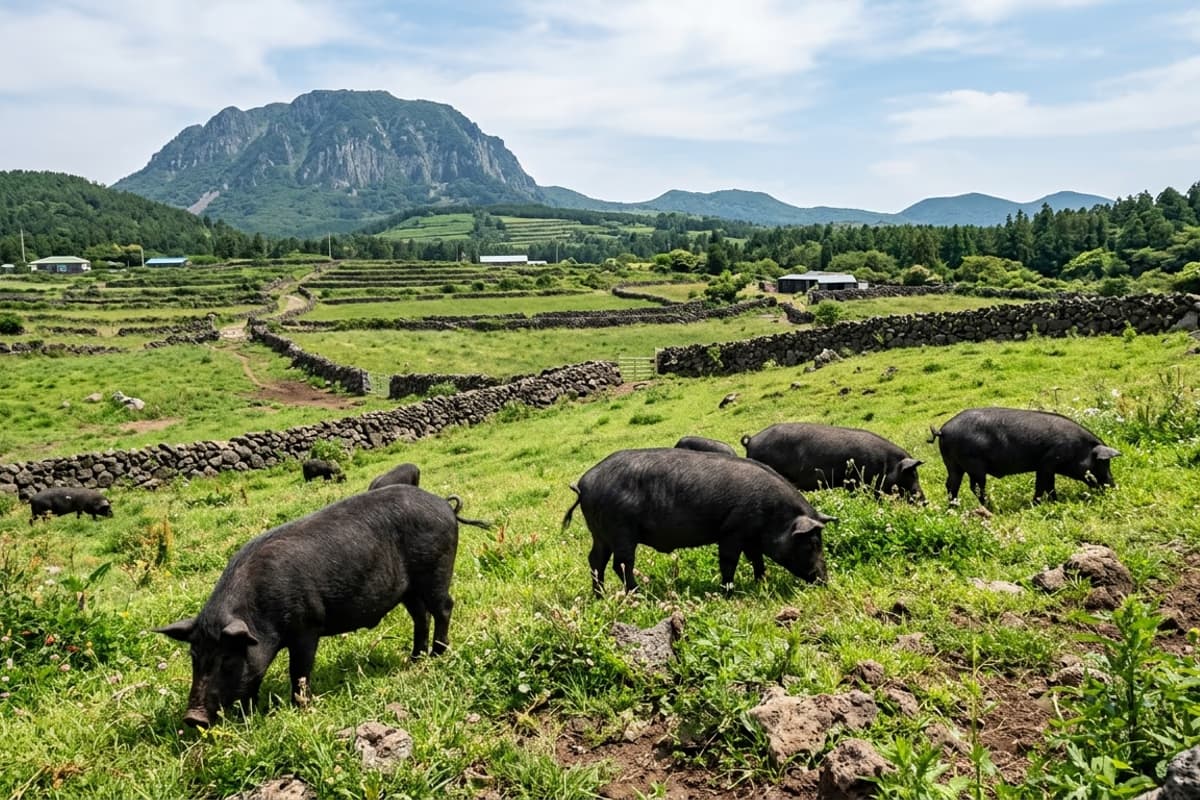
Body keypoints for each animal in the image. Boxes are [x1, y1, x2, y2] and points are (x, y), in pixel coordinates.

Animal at [155, 485, 487, 728]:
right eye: (194, 657)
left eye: (226, 659)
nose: (192, 717)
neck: (261, 613)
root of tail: (444, 505)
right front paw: (249, 713)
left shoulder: (307, 627)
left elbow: (299, 670)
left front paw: (300, 707)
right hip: (408, 590)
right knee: (421, 616)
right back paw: (414, 658)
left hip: (435, 571)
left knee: (444, 607)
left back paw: (438, 655)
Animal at [562, 448, 831, 595]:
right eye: (812, 543)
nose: (825, 580)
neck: (774, 513)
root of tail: (584, 483)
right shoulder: (732, 530)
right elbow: (729, 561)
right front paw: (728, 592)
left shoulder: (751, 536)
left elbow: (757, 559)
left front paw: (762, 583)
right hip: (621, 529)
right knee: (621, 563)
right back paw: (638, 594)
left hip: (600, 533)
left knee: (596, 560)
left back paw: (600, 596)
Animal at [929, 407, 1120, 507]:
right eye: (1103, 463)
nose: (1114, 486)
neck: (1078, 448)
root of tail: (943, 430)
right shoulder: (1047, 462)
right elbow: (1043, 485)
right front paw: (1039, 503)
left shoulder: (1045, 467)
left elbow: (1047, 485)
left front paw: (1052, 502)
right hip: (974, 465)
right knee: (975, 486)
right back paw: (990, 507)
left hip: (953, 464)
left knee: (952, 484)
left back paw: (954, 508)